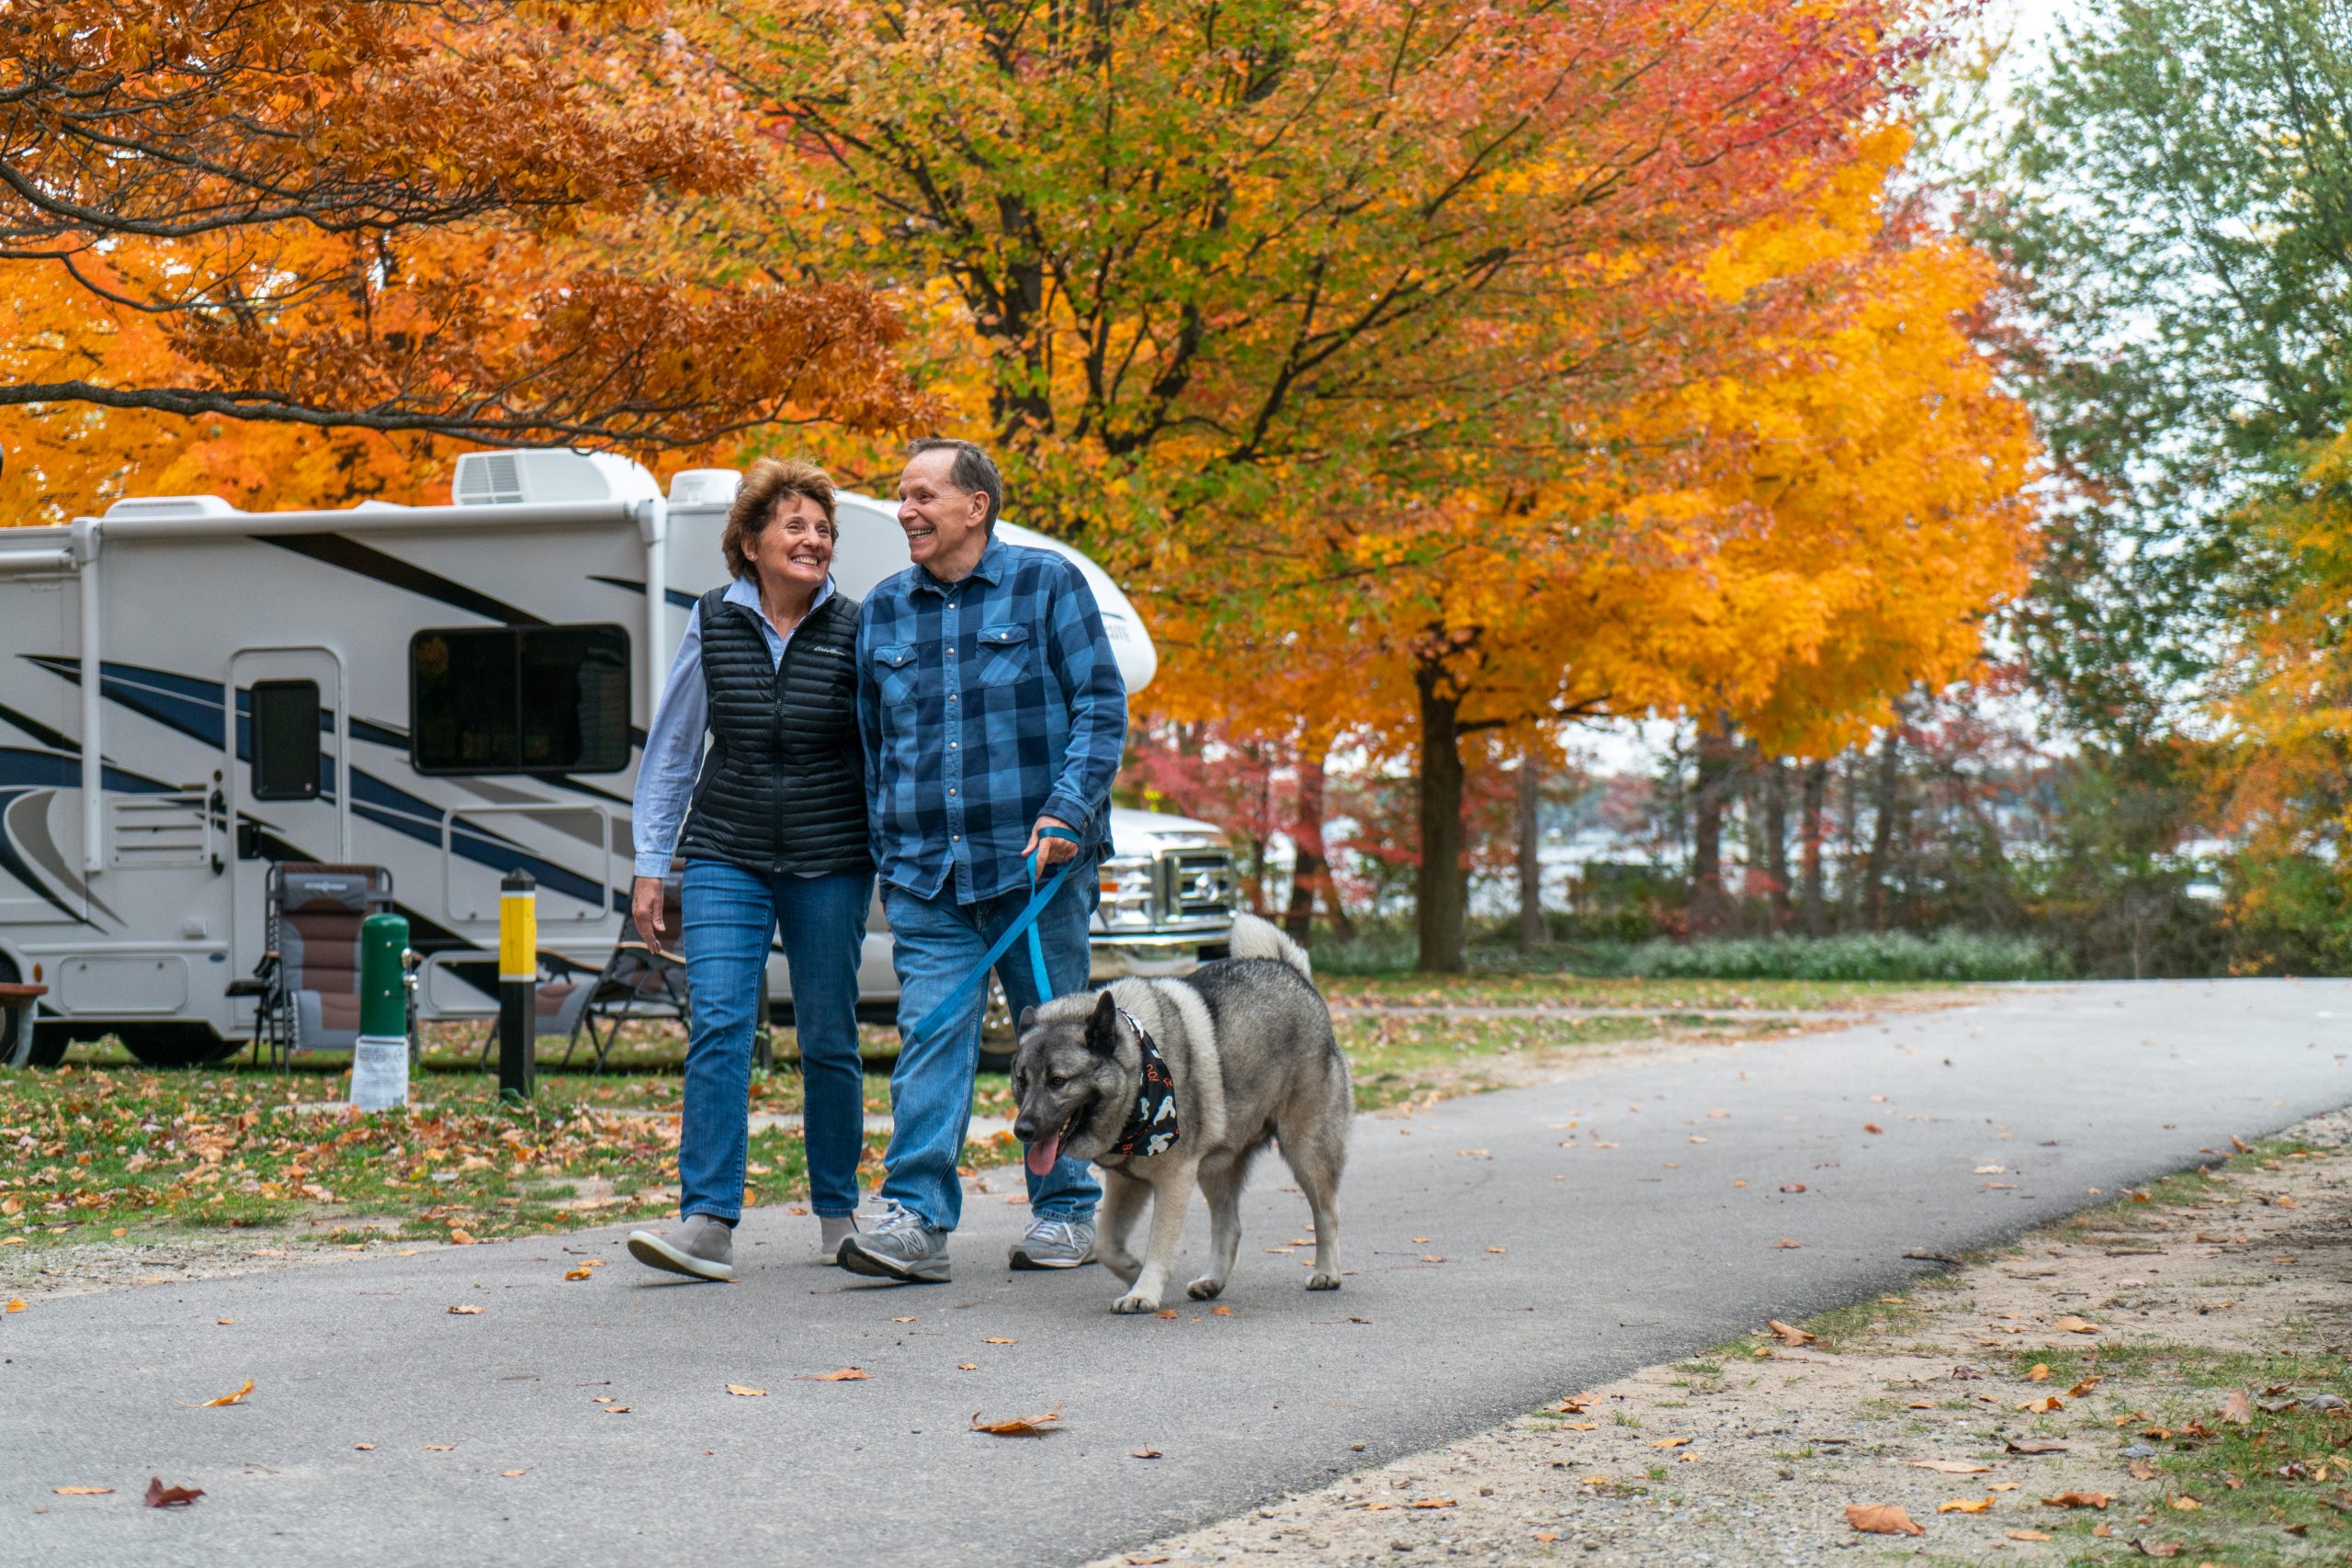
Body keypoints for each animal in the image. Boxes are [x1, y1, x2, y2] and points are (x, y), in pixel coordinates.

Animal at [1006, 911, 1354, 1316]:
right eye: (1022, 1081)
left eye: (1058, 1081)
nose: (1023, 1130)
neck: (1139, 1071)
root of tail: (1292, 973)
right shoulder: (1127, 1181)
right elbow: (1107, 1245)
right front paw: (1132, 1271)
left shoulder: (1174, 1179)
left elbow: (1160, 1240)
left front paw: (1144, 1291)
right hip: (1218, 1168)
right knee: (1230, 1227)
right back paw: (1212, 1281)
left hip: (1306, 1150)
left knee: (1327, 1212)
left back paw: (1327, 1272)